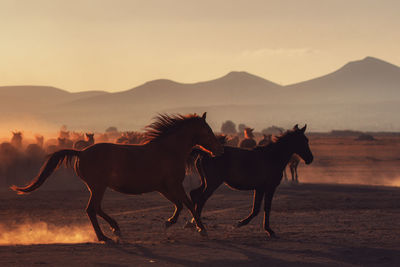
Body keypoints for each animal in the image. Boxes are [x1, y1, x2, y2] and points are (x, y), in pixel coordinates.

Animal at [11, 112, 225, 243]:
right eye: (207, 130)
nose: (219, 149)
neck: (168, 150)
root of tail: (81, 153)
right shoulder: (174, 185)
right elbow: (188, 204)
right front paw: (202, 229)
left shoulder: (164, 187)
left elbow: (179, 205)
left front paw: (169, 222)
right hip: (98, 187)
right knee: (92, 209)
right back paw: (105, 235)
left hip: (97, 187)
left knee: (95, 208)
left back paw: (114, 229)